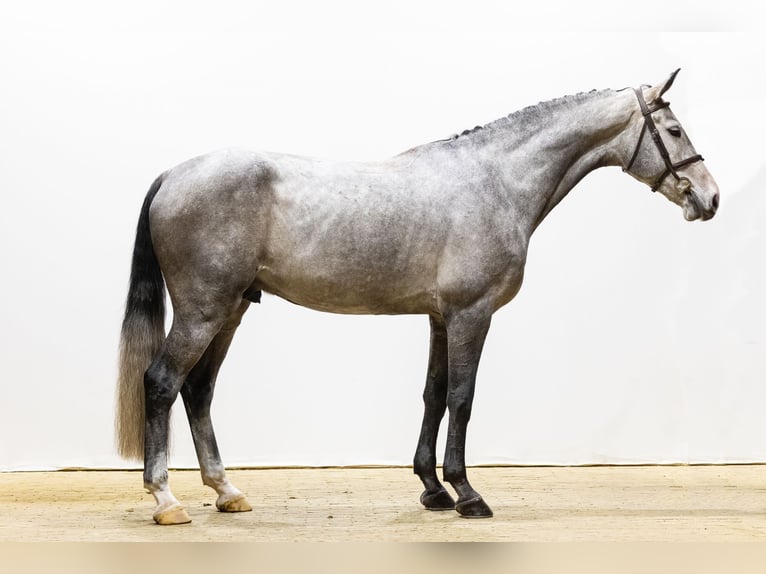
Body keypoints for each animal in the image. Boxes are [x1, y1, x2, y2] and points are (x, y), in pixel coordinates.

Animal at [116, 69, 719, 525]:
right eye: (674, 129)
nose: (709, 198)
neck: (494, 181)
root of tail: (175, 174)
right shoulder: (472, 314)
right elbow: (462, 397)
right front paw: (467, 494)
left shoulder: (439, 317)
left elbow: (433, 395)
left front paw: (433, 489)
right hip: (203, 310)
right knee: (163, 382)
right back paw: (166, 500)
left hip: (232, 309)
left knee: (198, 390)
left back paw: (227, 492)